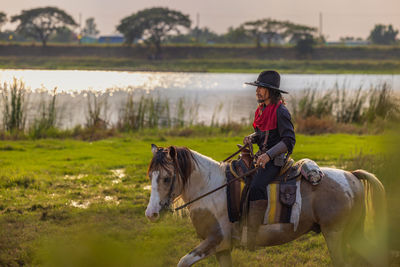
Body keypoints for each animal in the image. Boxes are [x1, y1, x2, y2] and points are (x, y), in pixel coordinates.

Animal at [145, 146, 386, 266]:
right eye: (150, 176)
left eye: (166, 178)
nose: (151, 214)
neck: (211, 188)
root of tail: (351, 175)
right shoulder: (223, 249)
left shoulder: (215, 240)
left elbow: (183, 261)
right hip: (352, 233)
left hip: (334, 233)